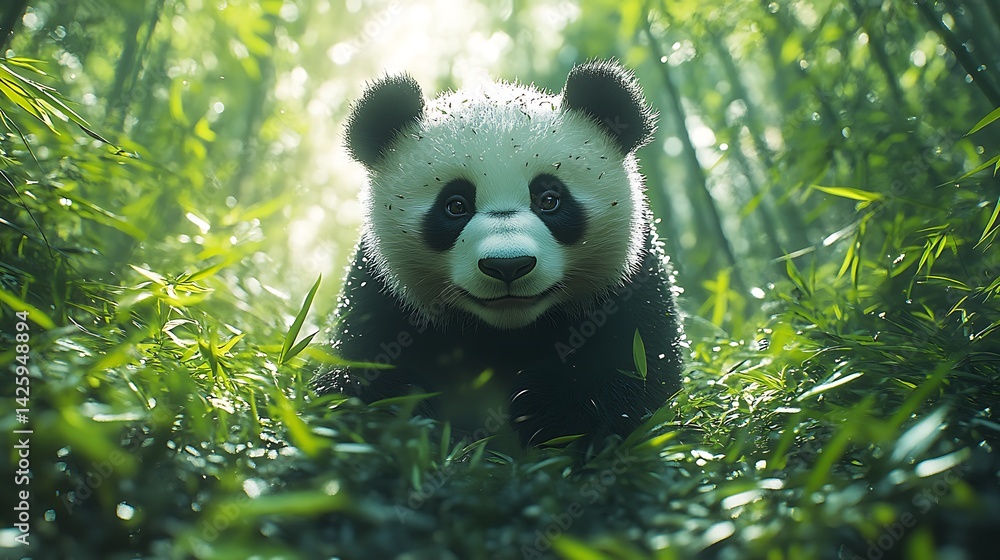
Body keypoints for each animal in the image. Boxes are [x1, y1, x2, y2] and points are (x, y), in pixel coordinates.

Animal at [312, 60, 684, 449]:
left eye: (549, 199)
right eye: (455, 205)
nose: (508, 266)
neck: (505, 331)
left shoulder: (630, 277)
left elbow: (634, 363)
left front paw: (552, 412)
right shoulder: (381, 290)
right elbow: (360, 373)